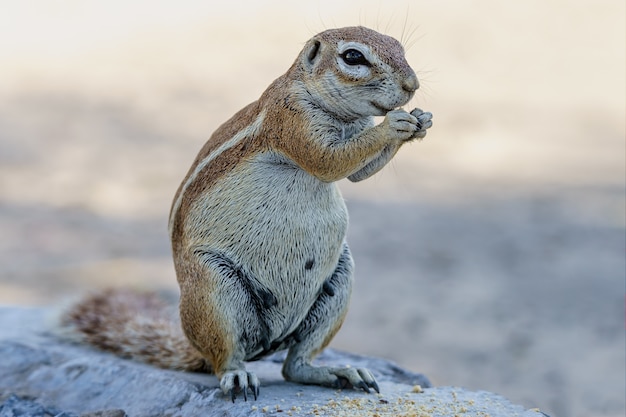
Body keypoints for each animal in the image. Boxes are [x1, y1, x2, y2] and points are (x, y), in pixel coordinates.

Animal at [64, 25, 434, 400]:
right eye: (353, 57)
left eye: (399, 46)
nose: (412, 84)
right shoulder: (291, 119)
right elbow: (329, 160)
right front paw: (395, 124)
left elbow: (360, 172)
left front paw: (421, 121)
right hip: (215, 290)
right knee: (226, 358)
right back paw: (238, 376)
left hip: (338, 284)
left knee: (294, 365)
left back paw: (339, 372)